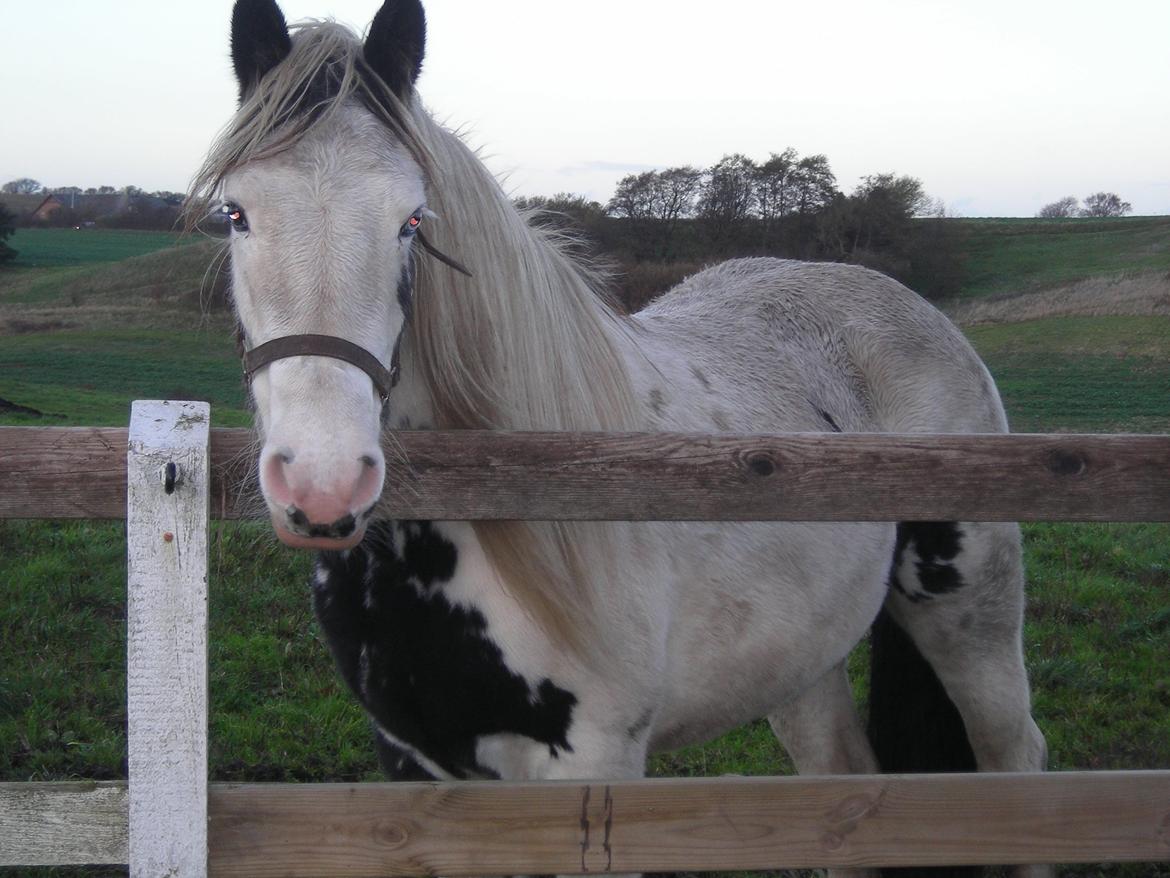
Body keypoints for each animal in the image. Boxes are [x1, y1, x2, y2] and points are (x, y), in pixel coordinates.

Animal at [191, 3, 1053, 875]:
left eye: (411, 220)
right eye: (237, 214)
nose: (322, 482)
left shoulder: (595, 770)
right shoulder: (417, 768)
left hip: (971, 618)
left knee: (1017, 765)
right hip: (802, 660)